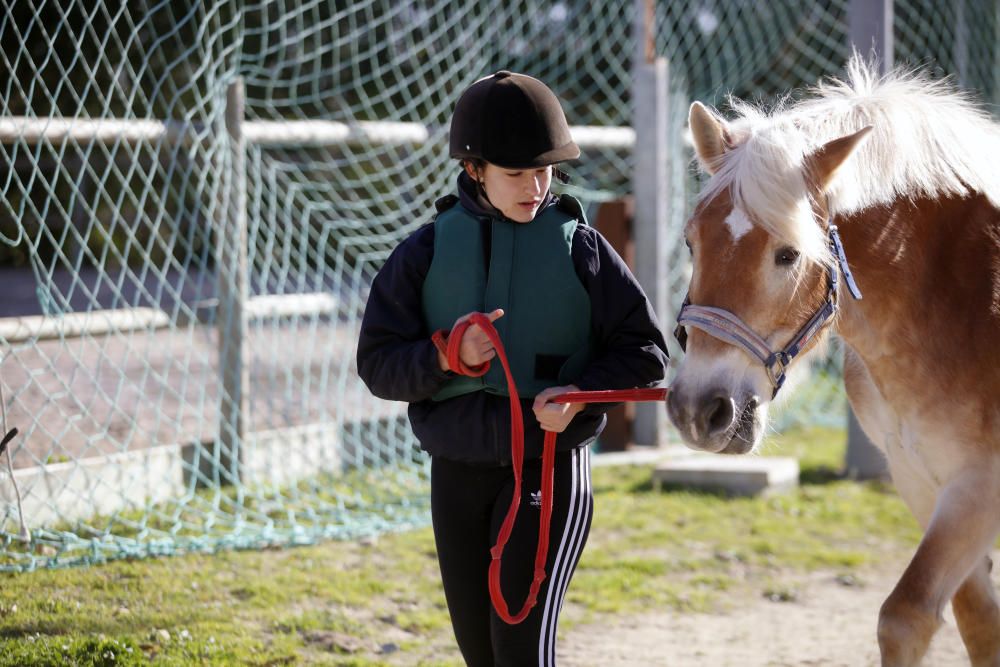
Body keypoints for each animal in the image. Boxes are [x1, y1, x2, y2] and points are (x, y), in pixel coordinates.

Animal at [664, 58, 1000, 667]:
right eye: (690, 243)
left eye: (788, 254)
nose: (700, 410)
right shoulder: (922, 479)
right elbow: (975, 621)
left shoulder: (978, 484)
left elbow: (905, 616)